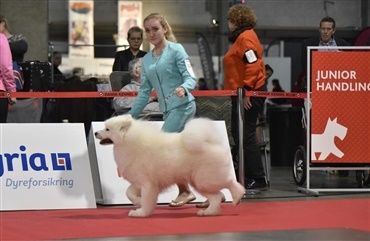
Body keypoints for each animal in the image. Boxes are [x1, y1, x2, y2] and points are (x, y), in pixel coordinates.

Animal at [94, 114, 244, 217]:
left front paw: (141, 212)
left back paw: (237, 196)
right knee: (216, 197)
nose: (95, 132)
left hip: (204, 180)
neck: (129, 142)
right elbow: (129, 193)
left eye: (107, 129)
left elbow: (146, 199)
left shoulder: (147, 184)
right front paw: (138, 202)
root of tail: (210, 143)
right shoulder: (138, 181)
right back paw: (208, 212)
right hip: (199, 183)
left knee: (230, 183)